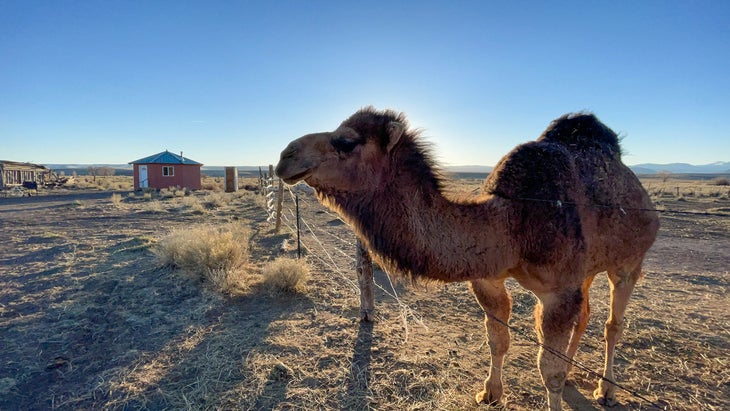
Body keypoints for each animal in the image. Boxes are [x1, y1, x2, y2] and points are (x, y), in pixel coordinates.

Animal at [274, 107, 660, 411]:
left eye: (346, 141)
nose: (285, 156)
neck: (512, 221)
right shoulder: (487, 278)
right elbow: (498, 339)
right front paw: (490, 393)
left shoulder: (559, 290)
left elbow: (547, 368)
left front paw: (552, 385)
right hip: (587, 269)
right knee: (585, 315)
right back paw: (573, 378)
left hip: (629, 262)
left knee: (612, 323)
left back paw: (606, 390)